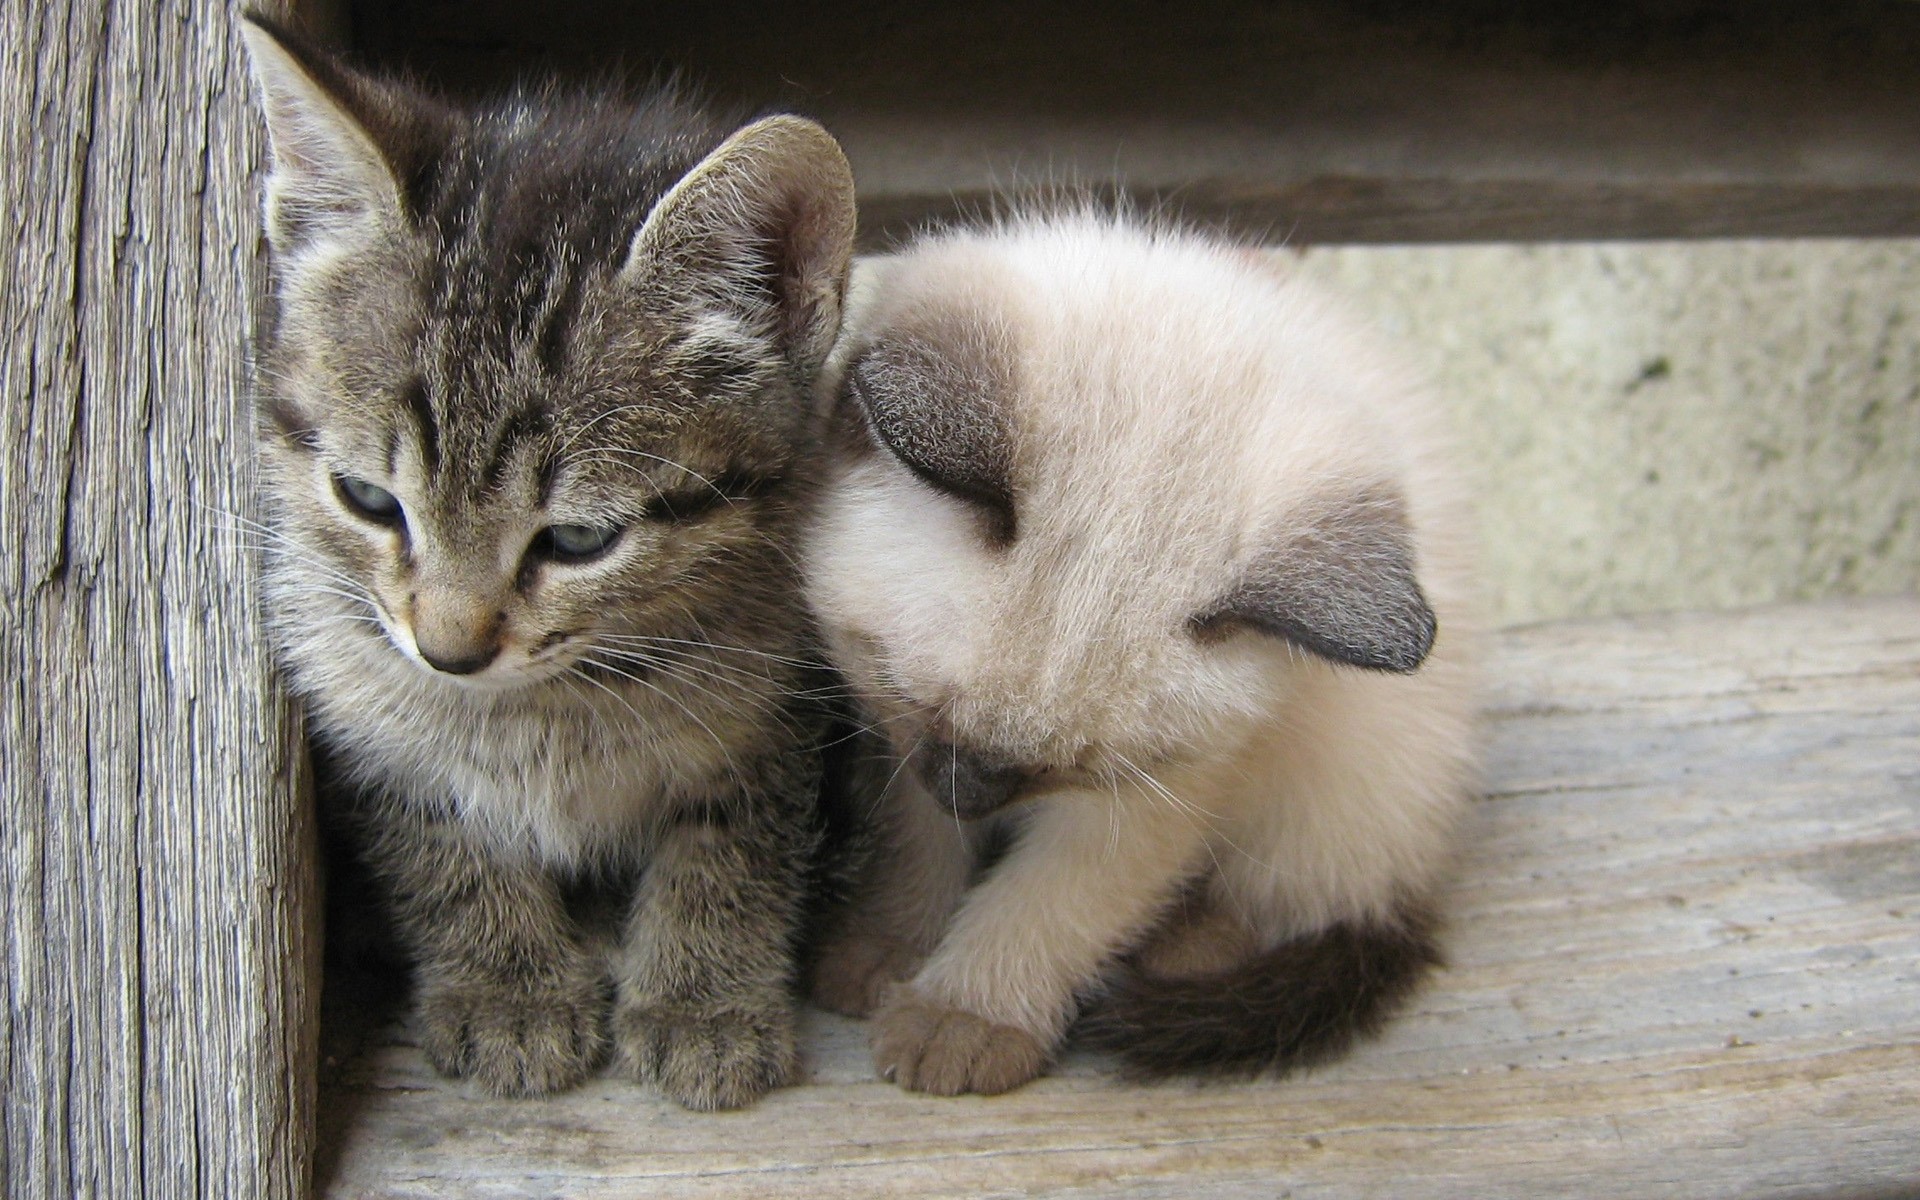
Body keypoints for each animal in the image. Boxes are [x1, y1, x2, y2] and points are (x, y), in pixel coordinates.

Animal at [236, 14, 852, 1105]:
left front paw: (703, 1001)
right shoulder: (359, 703)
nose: (450, 651)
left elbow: (732, 845)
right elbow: (439, 840)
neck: (546, 707)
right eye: (367, 500)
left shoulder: (782, 704)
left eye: (577, 540)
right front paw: (508, 991)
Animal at [802, 210, 1474, 1090]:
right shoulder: (897, 747)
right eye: (907, 696)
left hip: (1343, 781)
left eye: (1075, 769)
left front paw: (960, 1020)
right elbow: (916, 855)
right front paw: (883, 953)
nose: (969, 799)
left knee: (1317, 900)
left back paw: (1182, 949)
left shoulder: (1153, 799)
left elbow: (1046, 905)